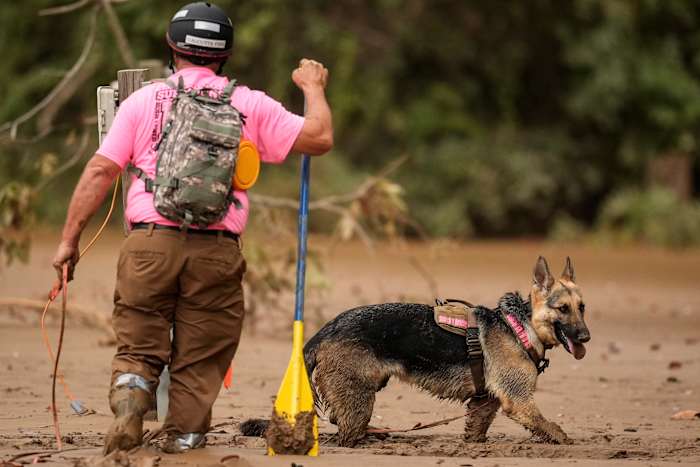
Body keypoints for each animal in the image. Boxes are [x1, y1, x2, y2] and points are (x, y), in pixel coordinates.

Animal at [243, 258, 588, 448]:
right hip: (359, 399)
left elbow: (476, 427)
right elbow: (551, 427)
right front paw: (567, 441)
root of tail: (326, 328)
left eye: (582, 308)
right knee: (344, 435)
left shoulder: (485, 402)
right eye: (563, 309)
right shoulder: (519, 402)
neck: (521, 325)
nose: (586, 336)